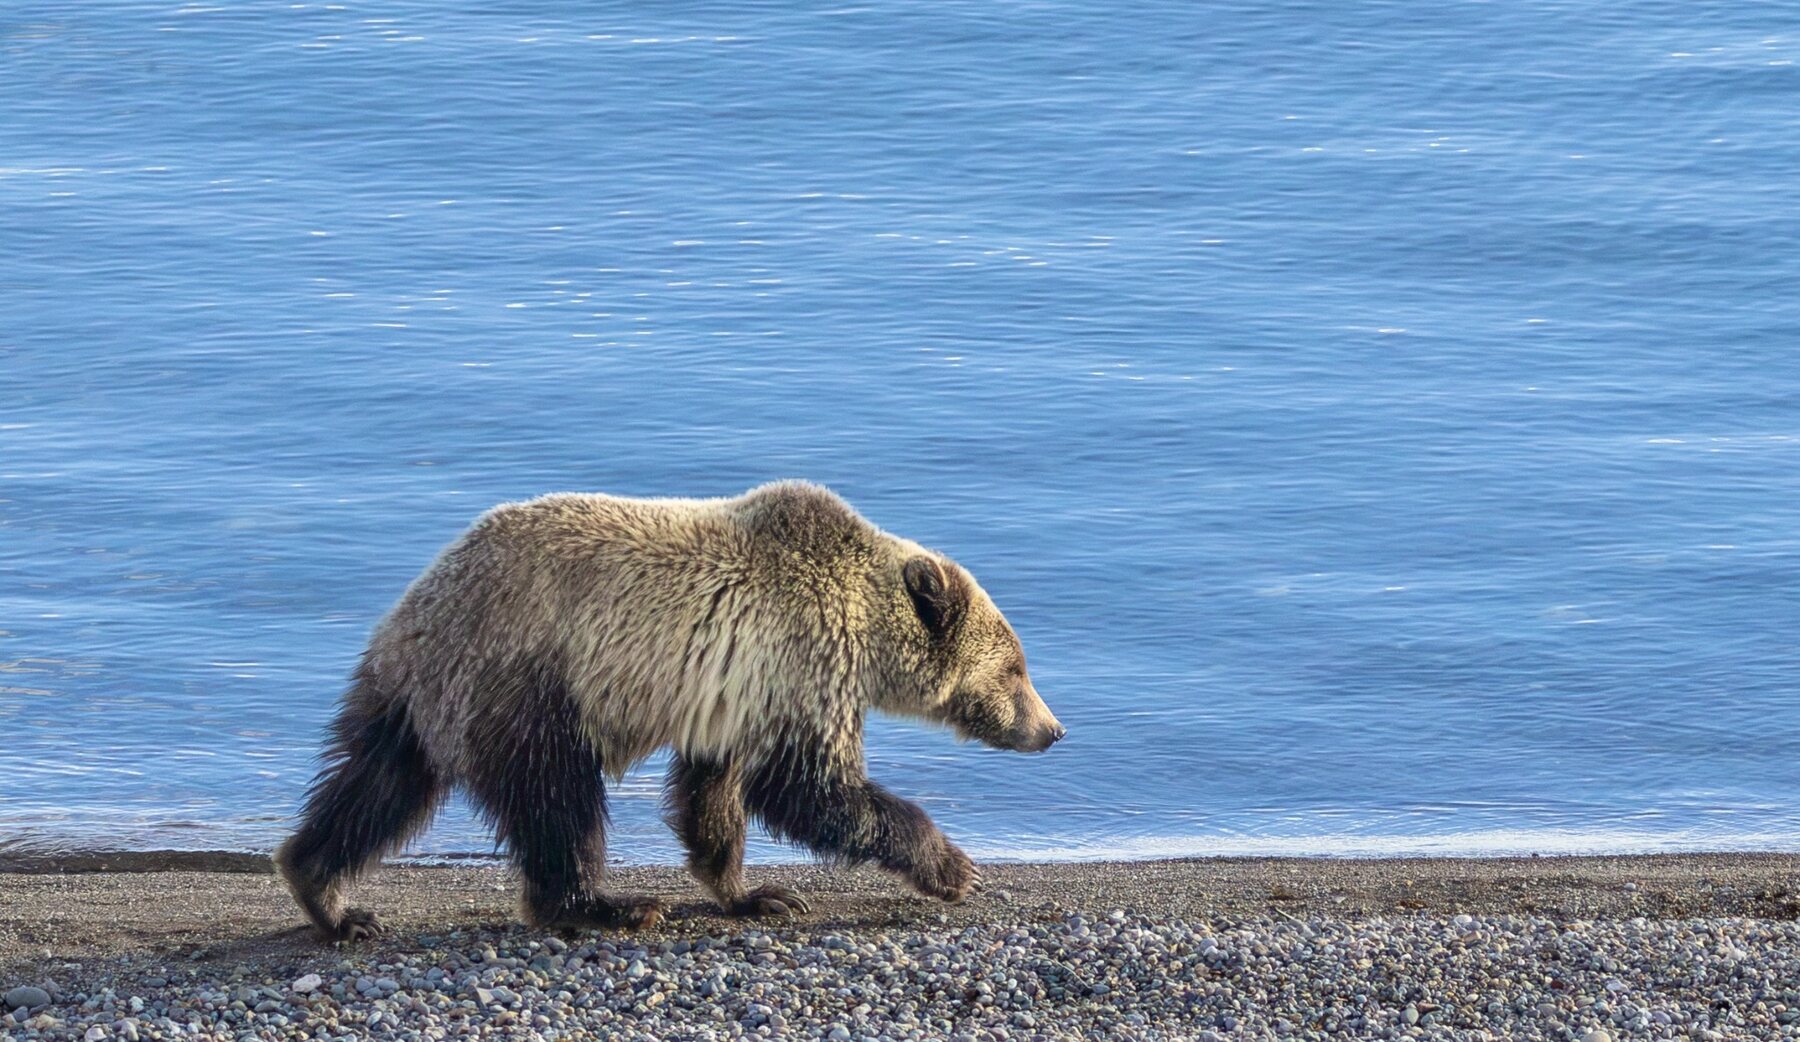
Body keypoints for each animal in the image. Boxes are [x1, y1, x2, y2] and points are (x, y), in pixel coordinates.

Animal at [274, 480, 1064, 940]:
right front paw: (952, 866)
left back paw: (328, 897)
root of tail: (418, 616)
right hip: (530, 683)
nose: (1053, 729)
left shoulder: (734, 697)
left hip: (417, 696)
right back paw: (603, 905)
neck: (867, 624)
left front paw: (755, 893)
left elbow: (713, 794)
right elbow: (810, 788)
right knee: (558, 802)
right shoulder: (803, 660)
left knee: (375, 785)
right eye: (1018, 667)